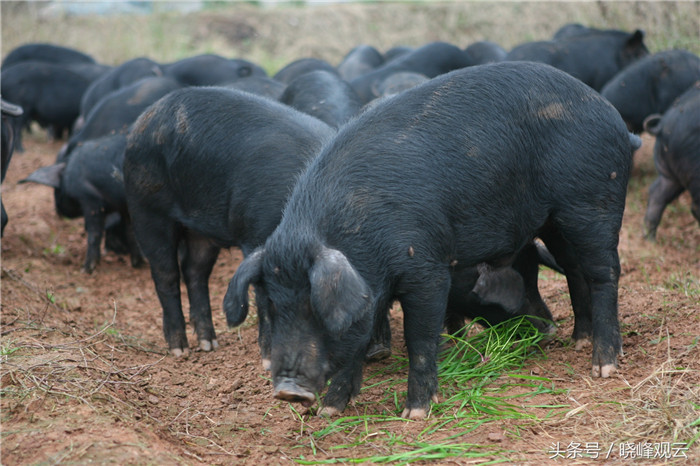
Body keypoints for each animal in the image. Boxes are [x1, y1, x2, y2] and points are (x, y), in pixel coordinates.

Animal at [123, 88, 334, 360]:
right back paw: (180, 350)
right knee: (166, 274)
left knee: (194, 271)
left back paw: (209, 343)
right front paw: (267, 357)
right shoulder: (256, 235)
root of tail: (142, 122)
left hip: (200, 228)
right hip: (146, 208)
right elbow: (264, 297)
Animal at [227, 61, 644, 418]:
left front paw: (415, 413)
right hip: (554, 221)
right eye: (271, 308)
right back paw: (577, 339)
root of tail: (614, 119)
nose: (288, 390)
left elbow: (421, 338)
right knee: (573, 269)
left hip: (592, 201)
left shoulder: (426, 268)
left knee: (604, 272)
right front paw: (331, 411)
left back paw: (602, 364)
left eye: (316, 308)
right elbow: (361, 336)